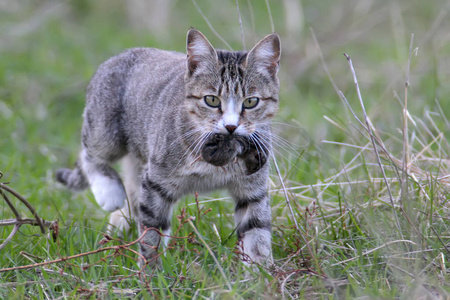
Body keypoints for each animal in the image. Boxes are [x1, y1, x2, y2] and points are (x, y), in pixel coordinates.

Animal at [56, 28, 282, 268]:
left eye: (251, 102)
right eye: (211, 100)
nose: (231, 127)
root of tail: (123, 54)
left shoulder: (253, 189)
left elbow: (257, 233)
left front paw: (262, 273)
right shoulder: (156, 182)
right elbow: (152, 231)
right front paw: (150, 272)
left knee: (131, 192)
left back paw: (118, 228)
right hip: (106, 130)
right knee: (88, 155)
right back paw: (109, 192)